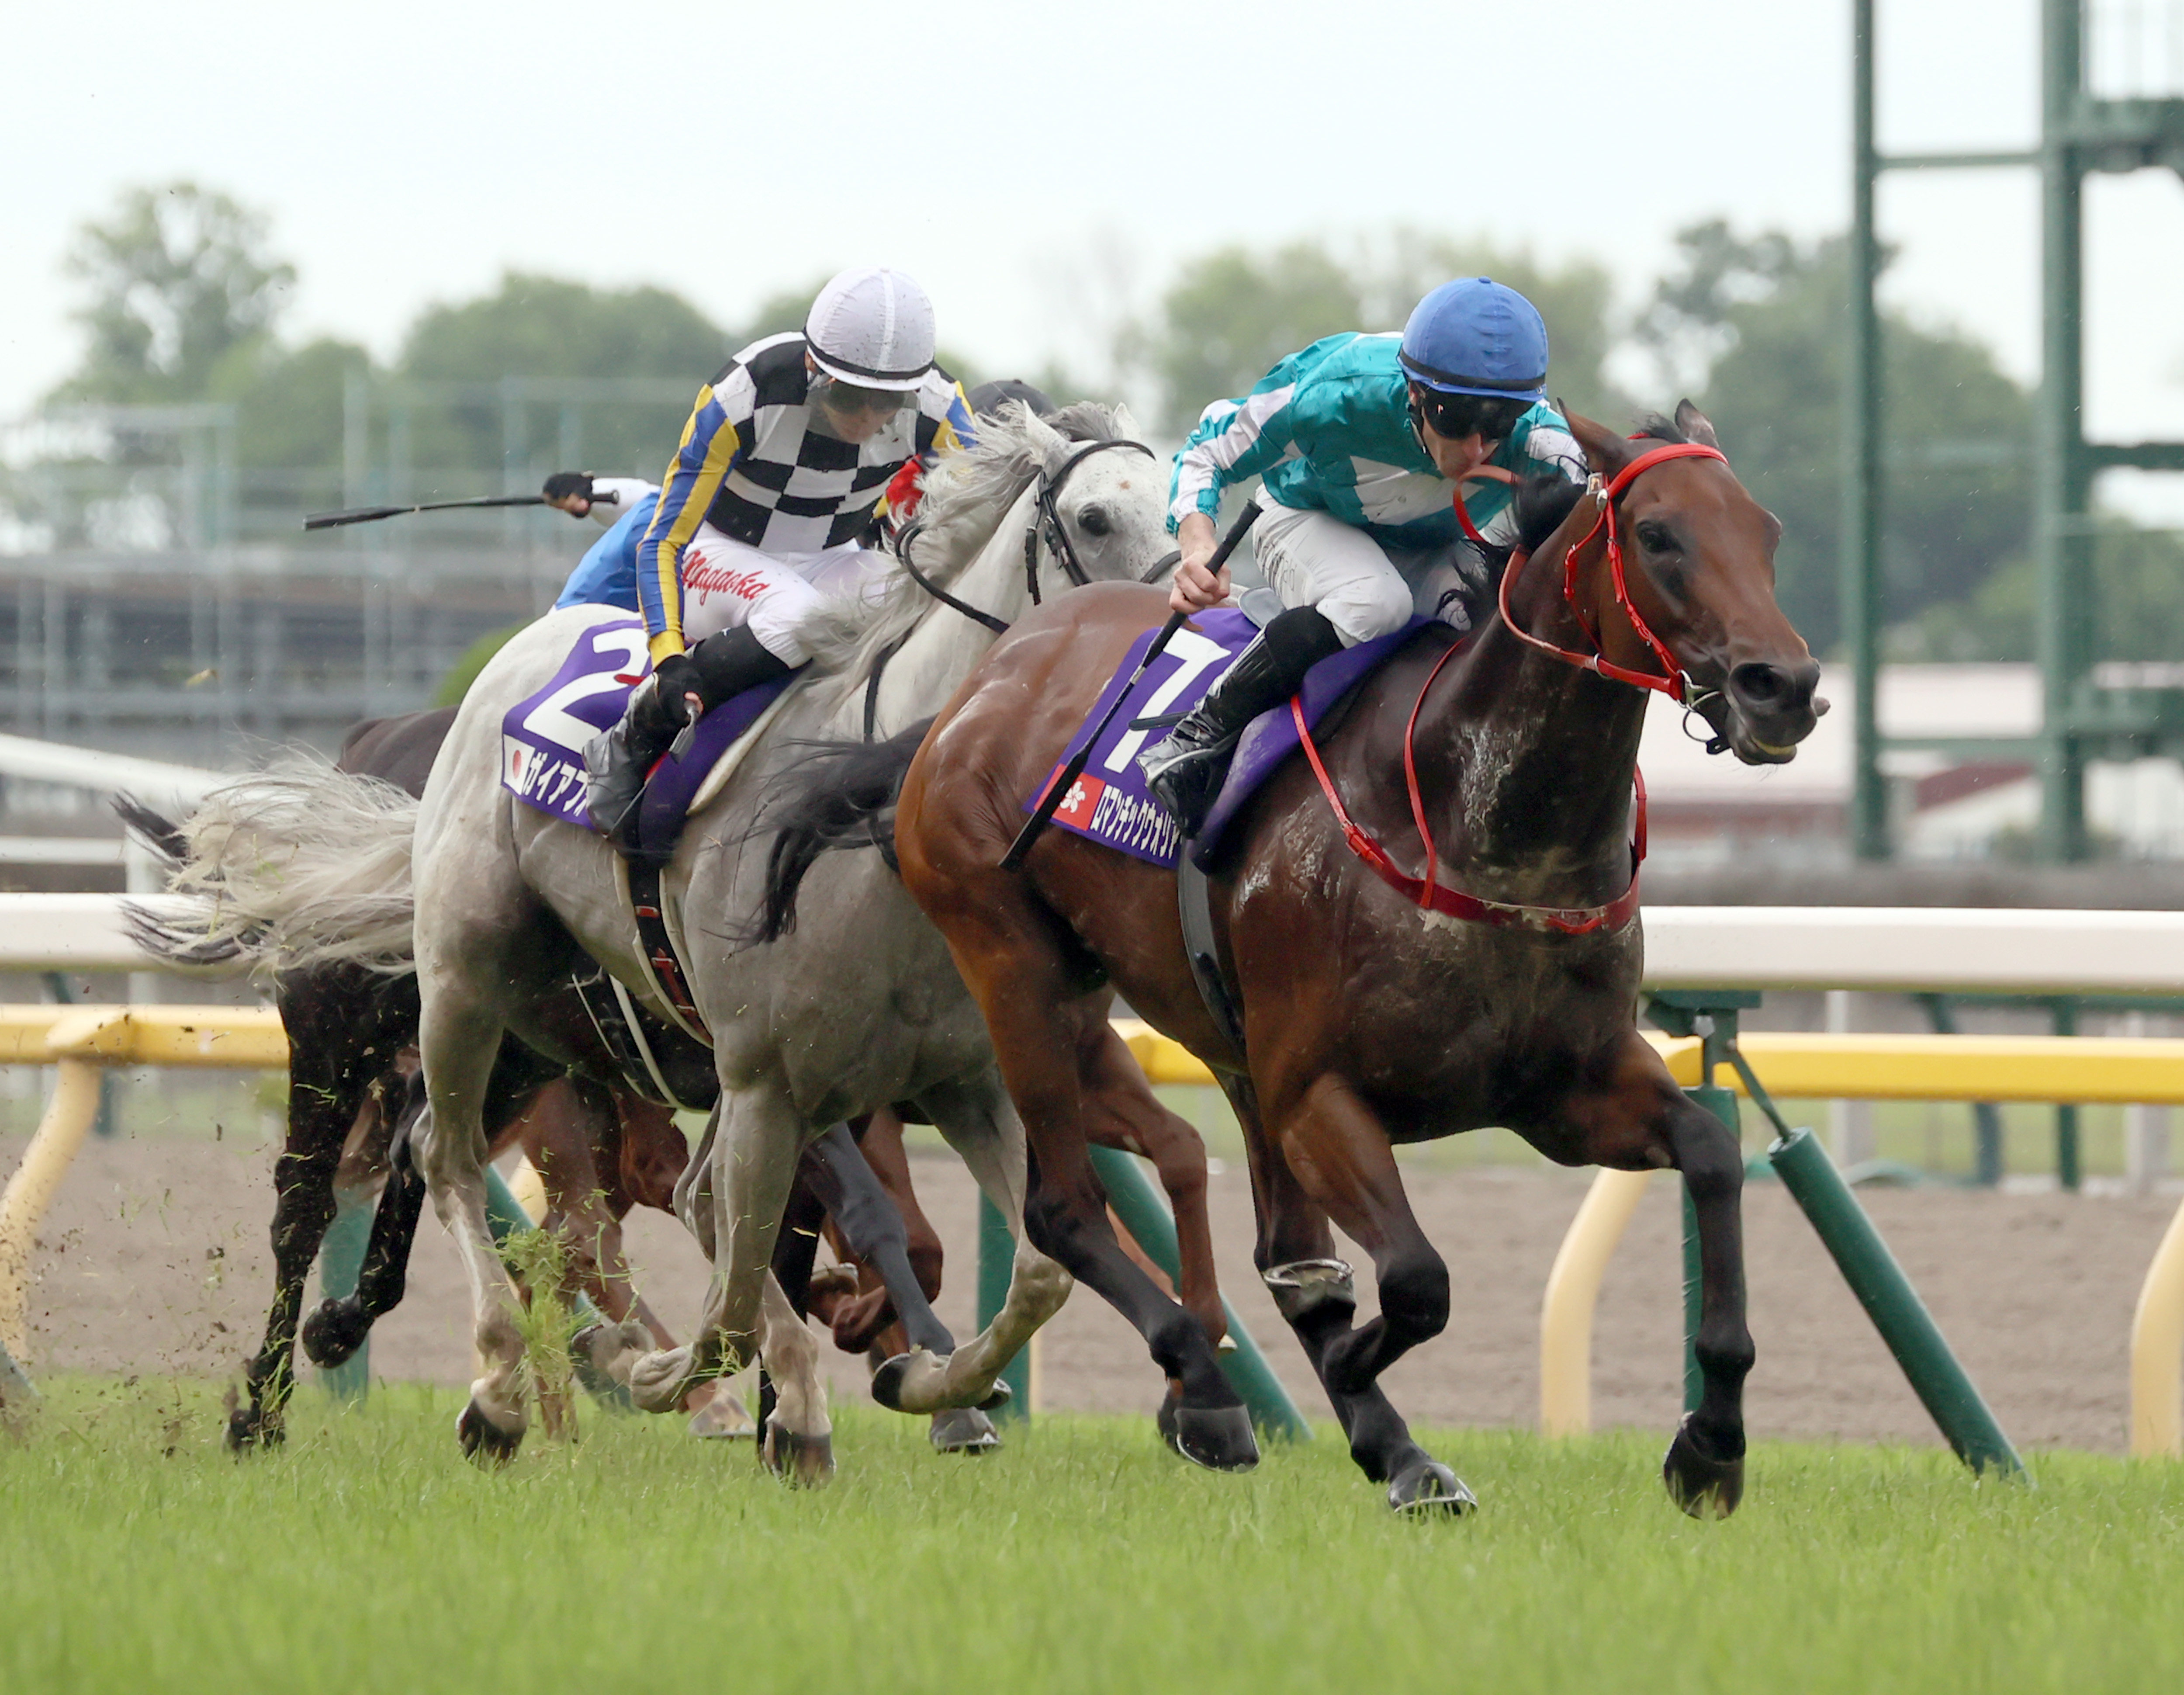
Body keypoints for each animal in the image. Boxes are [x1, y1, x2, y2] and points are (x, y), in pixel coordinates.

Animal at [873, 406, 1826, 1511]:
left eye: (1766, 532)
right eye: (1660, 535)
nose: (1784, 687)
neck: (1477, 821)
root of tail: (990, 675)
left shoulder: (1567, 1089)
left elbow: (1712, 1154)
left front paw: (1711, 1442)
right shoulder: (1320, 1095)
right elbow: (1414, 1282)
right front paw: (1355, 1380)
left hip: (1207, 1040)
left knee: (1283, 1253)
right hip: (1013, 964)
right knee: (1066, 1209)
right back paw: (1201, 1387)